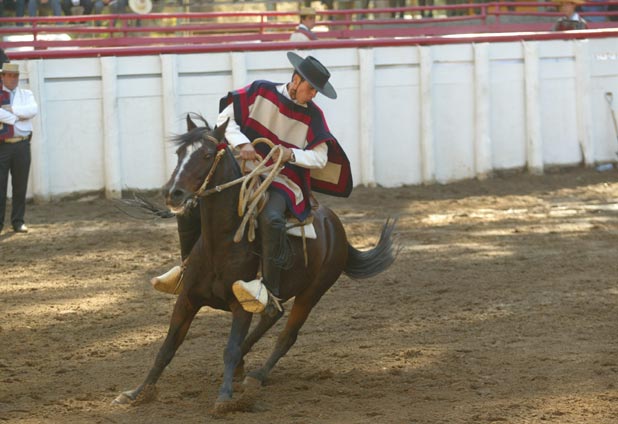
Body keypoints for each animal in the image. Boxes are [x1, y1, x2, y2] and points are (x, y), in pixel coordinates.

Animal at [113, 114, 398, 412]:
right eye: (179, 153)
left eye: (206, 155)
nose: (173, 193)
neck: (221, 243)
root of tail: (334, 225)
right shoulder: (187, 299)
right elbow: (167, 347)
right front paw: (136, 393)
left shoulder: (241, 306)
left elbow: (230, 349)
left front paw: (224, 398)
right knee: (272, 315)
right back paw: (243, 369)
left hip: (313, 292)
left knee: (286, 334)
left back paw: (257, 375)